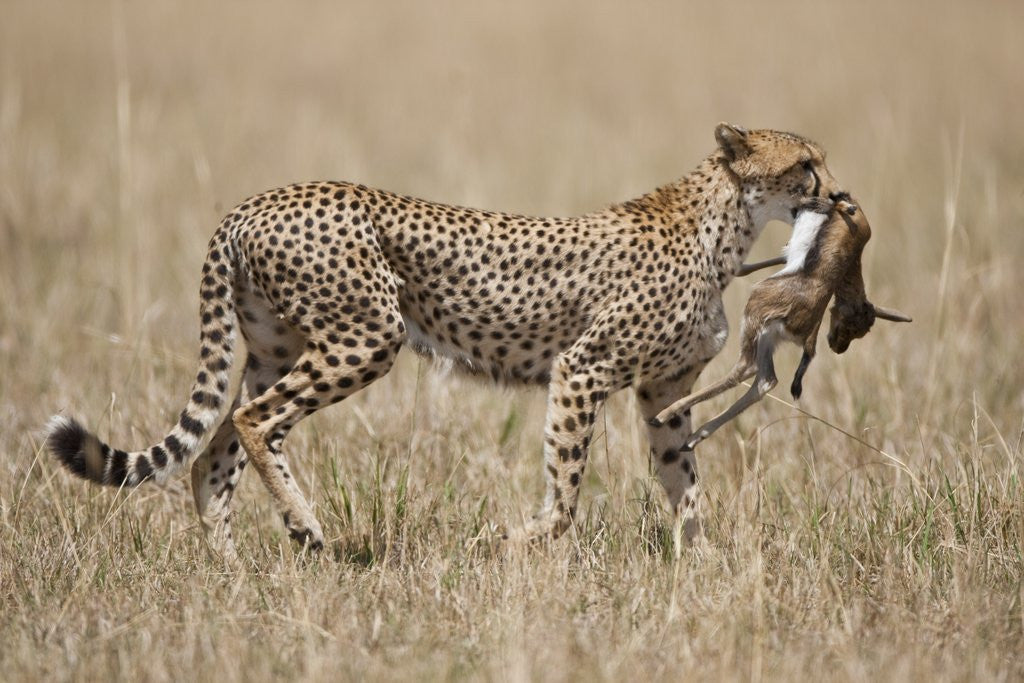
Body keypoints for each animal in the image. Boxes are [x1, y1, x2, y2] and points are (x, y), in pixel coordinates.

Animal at [45, 123, 844, 560]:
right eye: (805, 164)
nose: (840, 197)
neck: (727, 225)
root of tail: (255, 202)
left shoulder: (662, 392)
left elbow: (687, 488)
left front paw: (704, 569)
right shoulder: (583, 370)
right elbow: (566, 497)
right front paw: (511, 545)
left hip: (277, 348)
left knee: (212, 454)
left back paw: (232, 573)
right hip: (369, 334)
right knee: (249, 420)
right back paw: (304, 525)